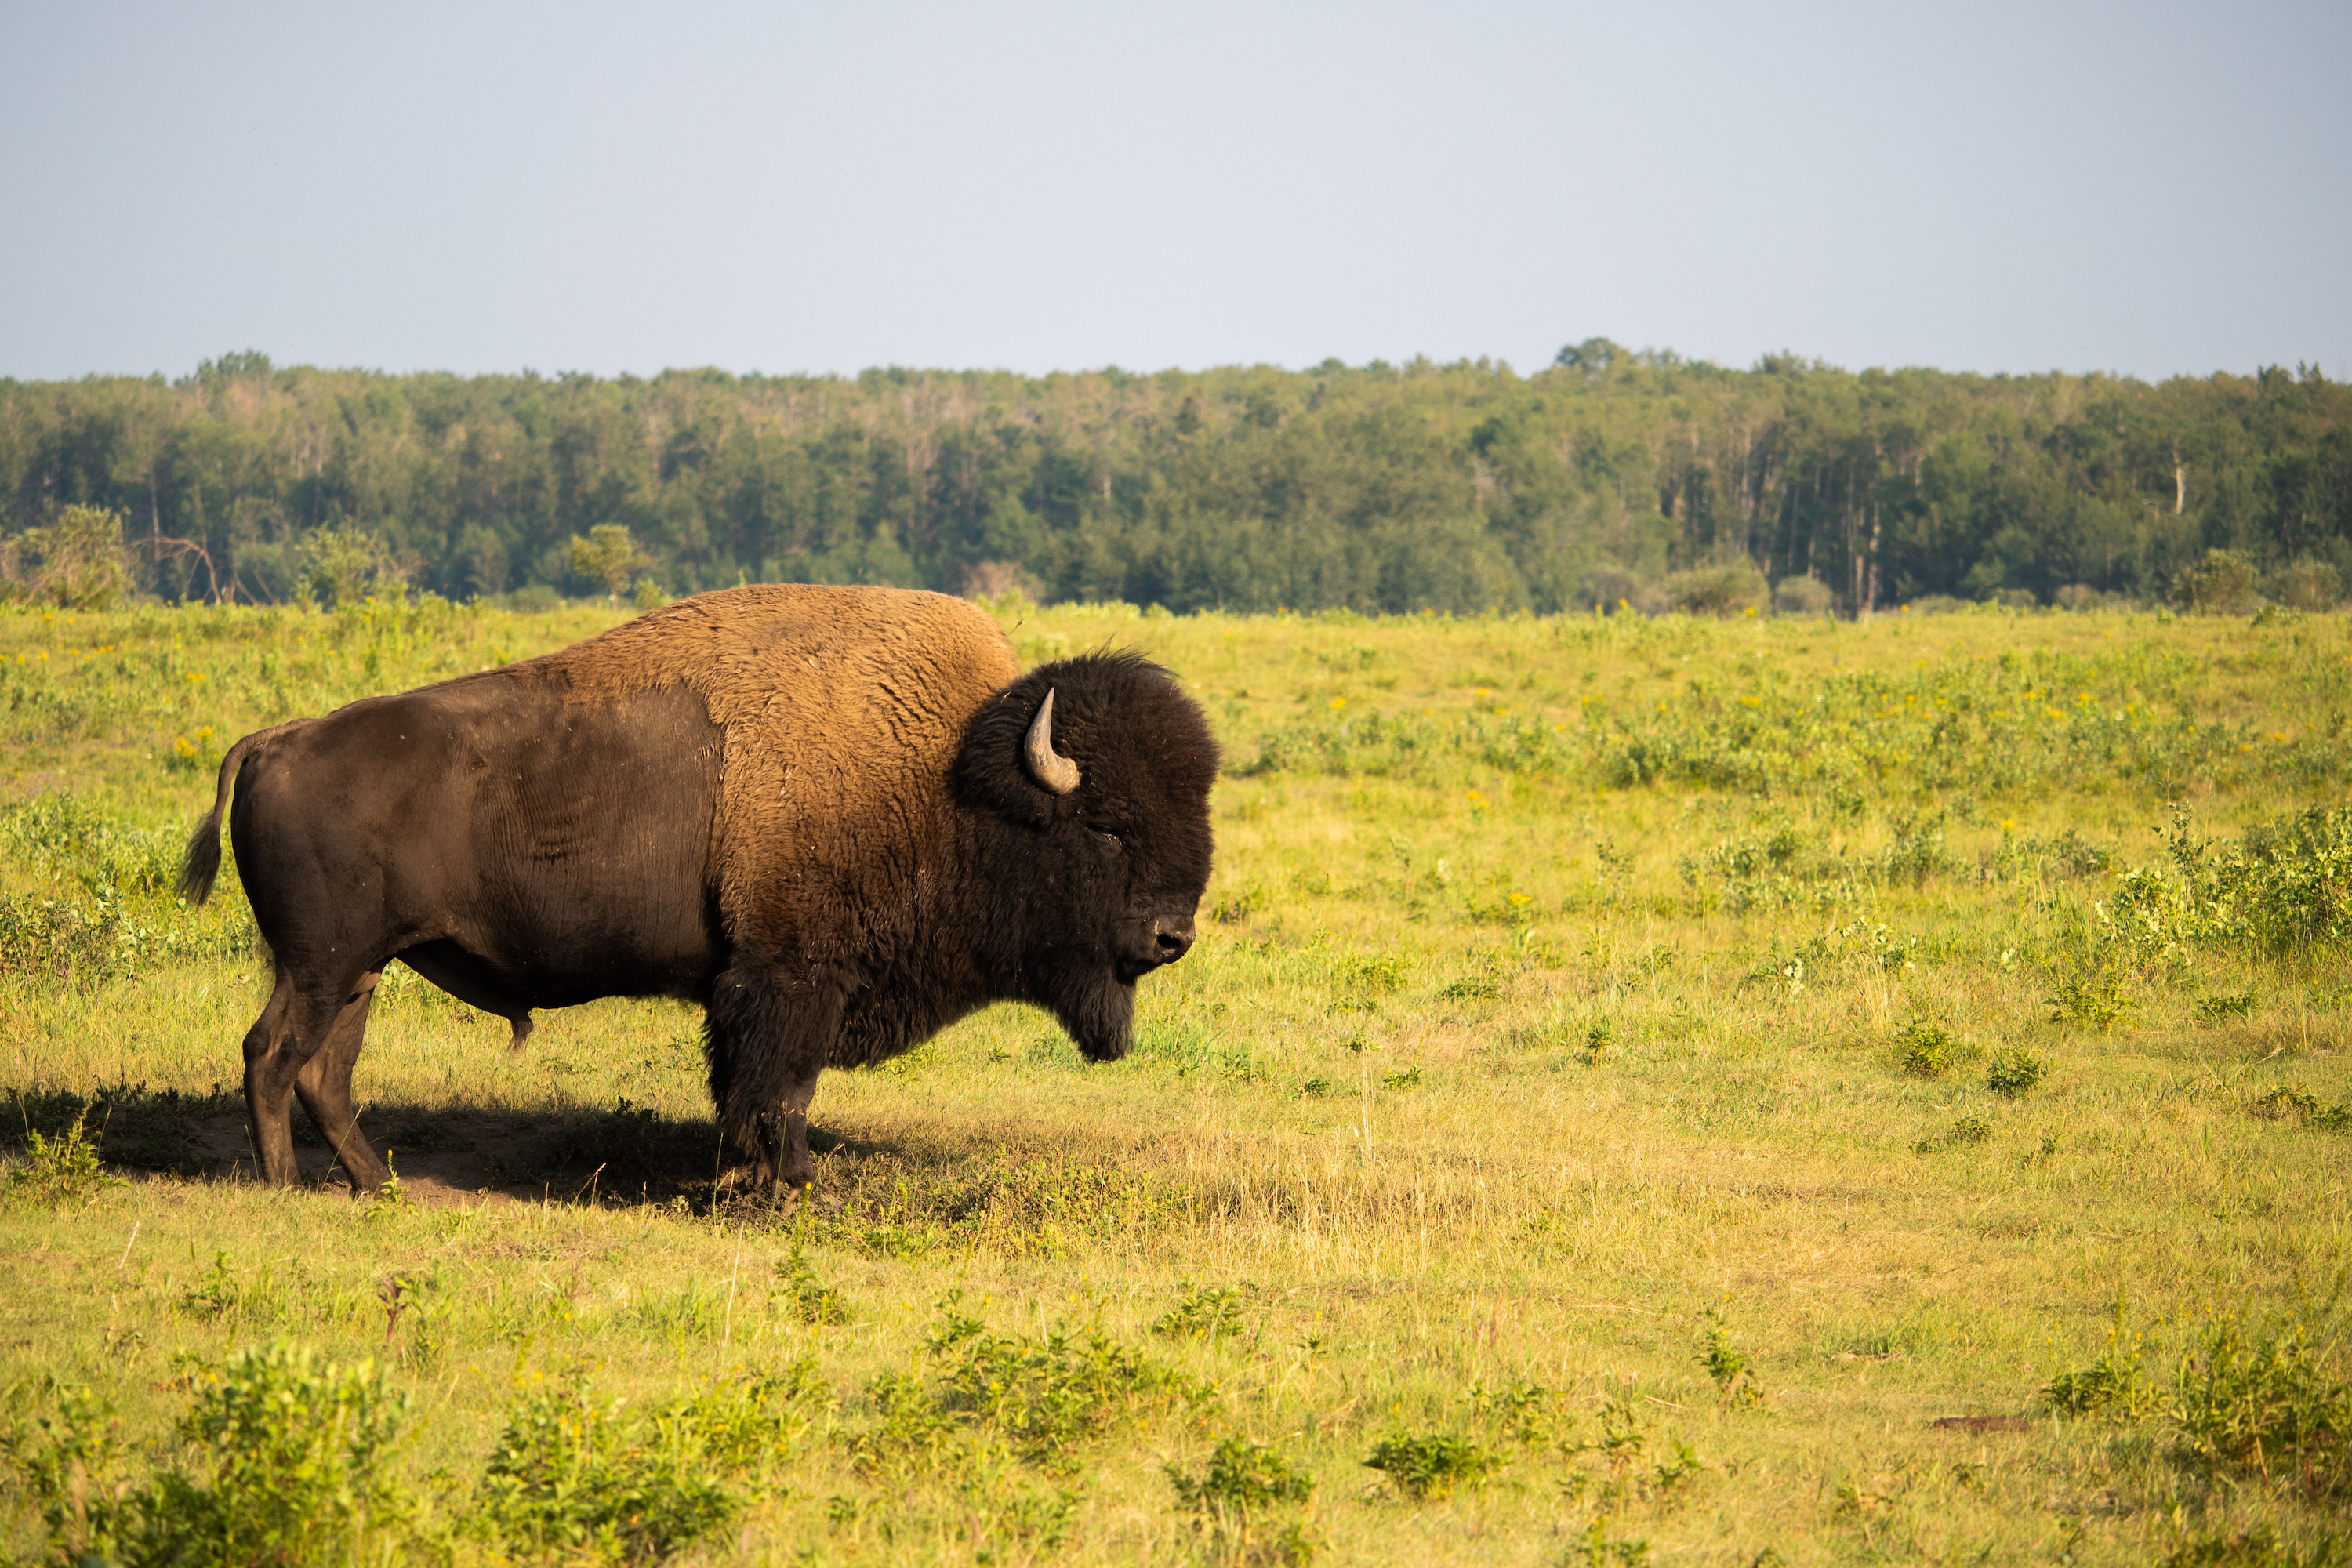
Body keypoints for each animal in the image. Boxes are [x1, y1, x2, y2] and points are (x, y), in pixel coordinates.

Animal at [174, 583, 1223, 1194]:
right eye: (1107, 825)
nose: (1173, 935)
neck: (949, 777)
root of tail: (276, 739)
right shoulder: (792, 976)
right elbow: (781, 1085)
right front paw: (791, 1181)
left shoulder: (751, 984)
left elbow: (746, 1084)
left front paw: (744, 1176)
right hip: (322, 964)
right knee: (273, 1054)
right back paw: (281, 1185)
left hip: (363, 968)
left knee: (324, 1071)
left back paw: (378, 1183)